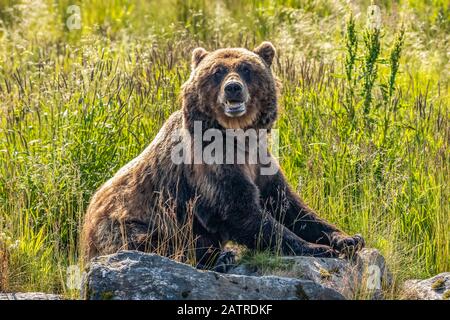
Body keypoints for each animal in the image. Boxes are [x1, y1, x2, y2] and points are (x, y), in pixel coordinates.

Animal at [80, 41, 362, 272]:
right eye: (217, 72)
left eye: (246, 69)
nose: (233, 88)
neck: (237, 136)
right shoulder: (209, 164)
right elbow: (240, 210)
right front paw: (318, 248)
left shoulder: (260, 162)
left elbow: (290, 206)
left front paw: (348, 238)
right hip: (129, 221)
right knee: (152, 241)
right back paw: (219, 258)